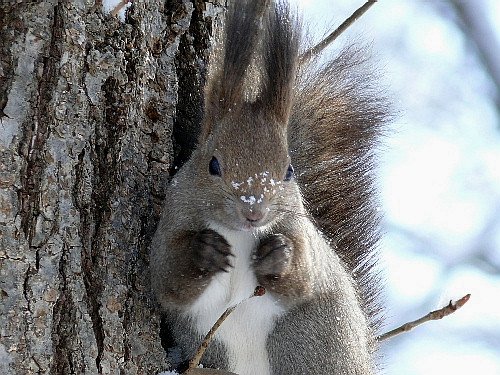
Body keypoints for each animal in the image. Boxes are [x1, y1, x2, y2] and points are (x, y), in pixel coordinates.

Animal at [150, 1, 392, 374]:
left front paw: (278, 254)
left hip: (309, 341)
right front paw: (204, 252)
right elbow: (167, 278)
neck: (239, 235)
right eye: (213, 165)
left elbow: (303, 277)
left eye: (289, 171)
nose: (254, 211)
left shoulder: (303, 237)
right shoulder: (170, 224)